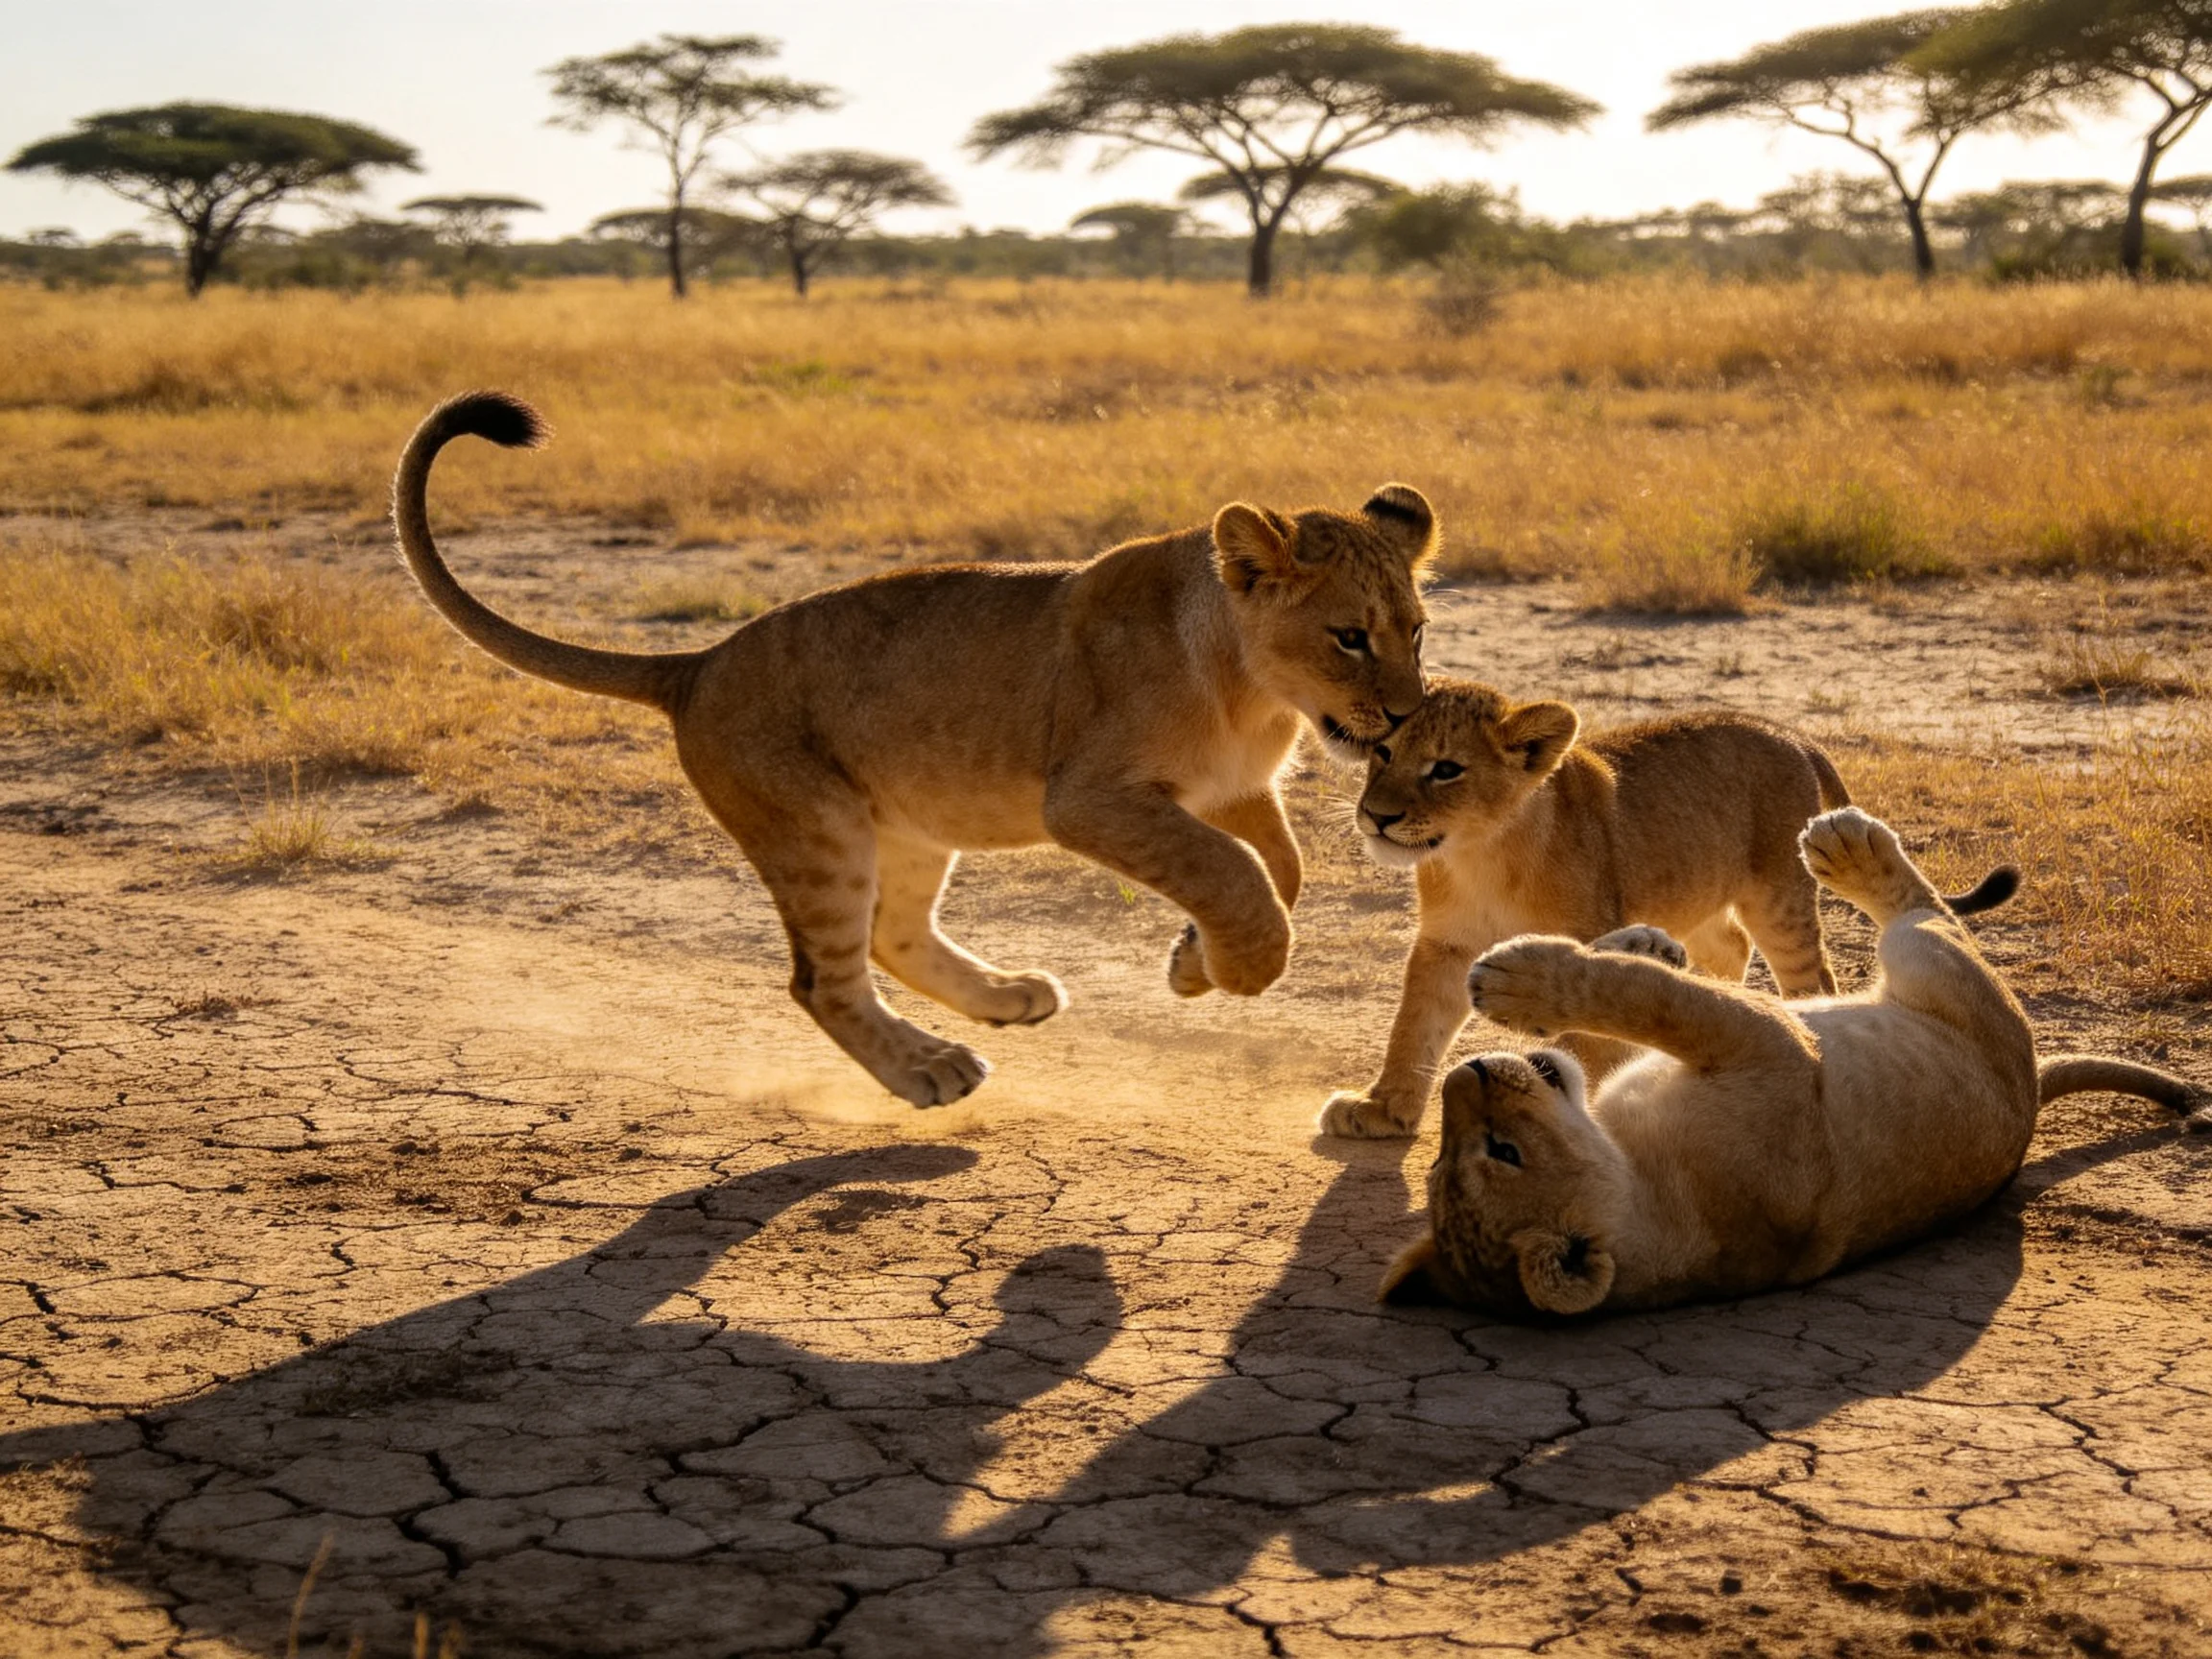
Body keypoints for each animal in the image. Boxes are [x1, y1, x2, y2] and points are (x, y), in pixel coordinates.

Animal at [393, 391, 1434, 1106]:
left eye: (1416, 632)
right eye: (1349, 637)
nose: (1400, 720)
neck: (1257, 694)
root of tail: (697, 665)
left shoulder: (1230, 790)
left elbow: (1278, 868)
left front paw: (1194, 963)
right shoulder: (1090, 797)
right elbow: (1231, 870)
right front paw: (1242, 969)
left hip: (911, 822)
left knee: (891, 934)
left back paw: (1008, 997)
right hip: (817, 831)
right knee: (823, 978)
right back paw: (928, 1068)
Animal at [1319, 680, 2013, 1139]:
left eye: (1446, 769)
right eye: (1383, 753)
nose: (1376, 815)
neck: (1478, 853)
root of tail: (1788, 733)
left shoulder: (1581, 935)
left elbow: (1594, 1029)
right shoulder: (1444, 945)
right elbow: (1415, 1025)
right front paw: (1384, 1108)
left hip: (1778, 898)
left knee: (1811, 976)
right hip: (1700, 898)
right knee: (1728, 952)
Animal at [1377, 807, 2209, 1317]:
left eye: (1456, 1157)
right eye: (1499, 1151)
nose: (1464, 1076)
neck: (1638, 1181)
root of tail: (2034, 1089)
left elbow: (1639, 996)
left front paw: (1637, 946)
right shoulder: (1772, 1047)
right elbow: (1651, 999)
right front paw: (1520, 981)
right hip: (1935, 966)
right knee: (1928, 913)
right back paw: (1849, 847)